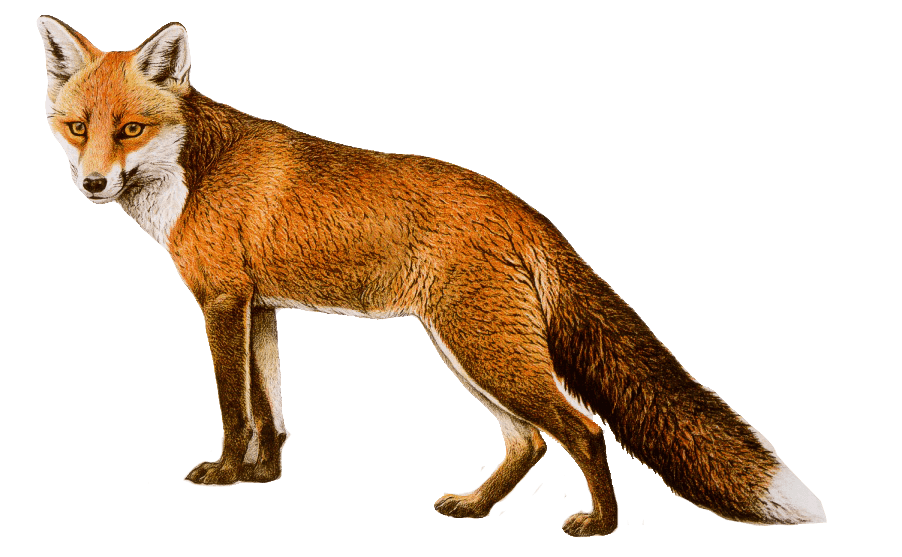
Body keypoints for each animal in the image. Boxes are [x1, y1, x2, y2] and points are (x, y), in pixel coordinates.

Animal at [37, 16, 826, 537]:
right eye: (77, 127)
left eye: (130, 129)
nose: (93, 183)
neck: (192, 175)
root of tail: (521, 207)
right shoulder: (260, 307)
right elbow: (270, 411)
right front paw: (265, 477)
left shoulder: (222, 302)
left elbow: (236, 409)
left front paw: (227, 475)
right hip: (468, 351)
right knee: (530, 441)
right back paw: (477, 508)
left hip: (483, 350)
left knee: (583, 428)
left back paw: (600, 524)